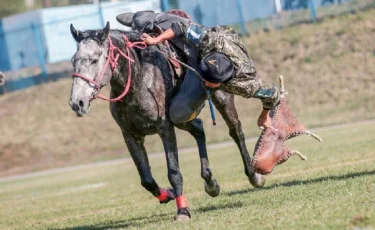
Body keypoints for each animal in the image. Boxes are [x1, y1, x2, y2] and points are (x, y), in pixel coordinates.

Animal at [69, 22, 266, 220]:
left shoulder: (165, 128)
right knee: (199, 129)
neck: (139, 78)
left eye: (95, 60)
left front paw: (183, 210)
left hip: (221, 98)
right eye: (73, 60)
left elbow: (174, 172)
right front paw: (168, 194)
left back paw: (254, 175)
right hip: (182, 117)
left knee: (236, 131)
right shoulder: (130, 135)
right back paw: (210, 182)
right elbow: (146, 179)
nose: (77, 103)